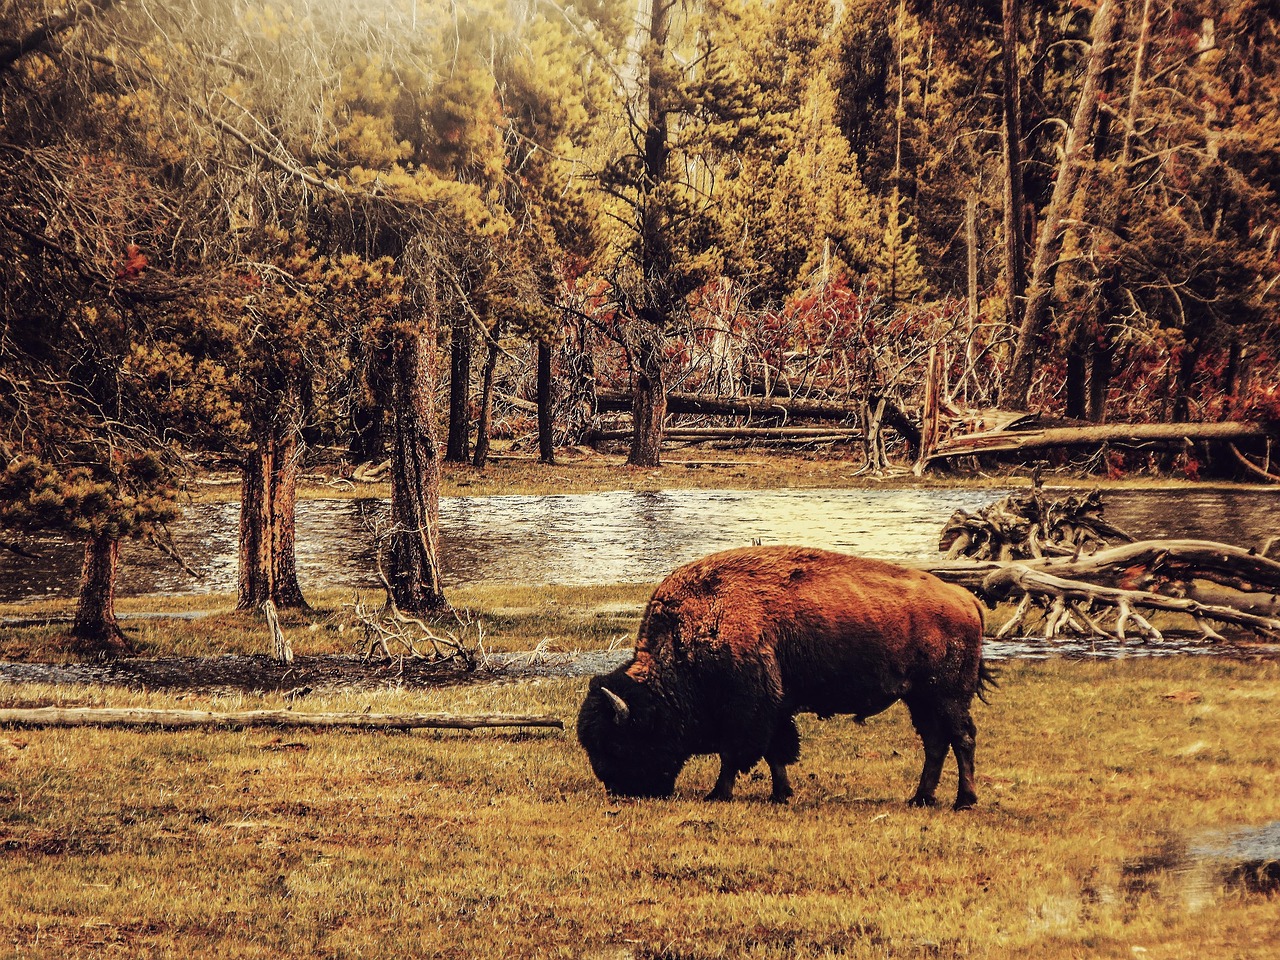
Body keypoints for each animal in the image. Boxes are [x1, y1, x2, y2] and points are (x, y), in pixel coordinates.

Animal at [577, 546, 992, 808]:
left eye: (617, 744)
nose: (620, 789)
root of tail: (966, 599)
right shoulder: (775, 708)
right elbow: (775, 752)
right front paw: (781, 794)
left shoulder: (748, 710)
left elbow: (737, 754)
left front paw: (719, 793)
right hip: (920, 698)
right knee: (936, 743)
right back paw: (921, 798)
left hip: (947, 696)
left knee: (962, 738)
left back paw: (964, 801)